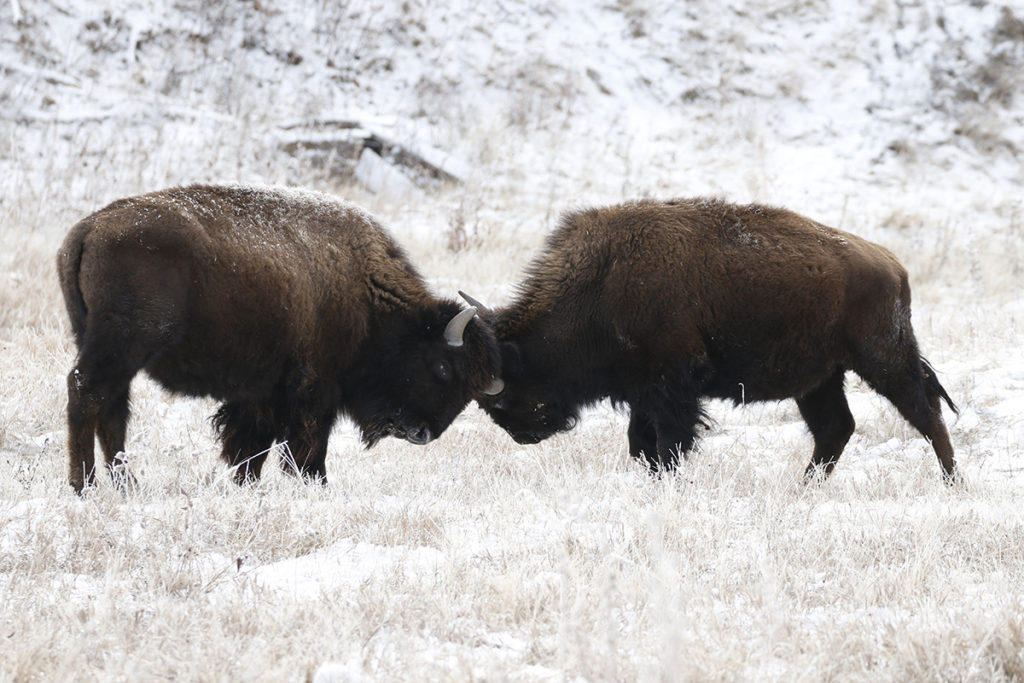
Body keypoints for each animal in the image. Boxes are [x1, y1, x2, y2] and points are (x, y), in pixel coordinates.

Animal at [58, 181, 499, 491]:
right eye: (442, 367)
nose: (423, 434)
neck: (365, 291)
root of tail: (90, 228)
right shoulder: (313, 390)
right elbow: (307, 448)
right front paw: (316, 486)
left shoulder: (262, 391)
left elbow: (251, 446)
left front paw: (245, 486)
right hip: (120, 346)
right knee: (86, 394)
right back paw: (85, 486)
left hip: (105, 348)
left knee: (112, 408)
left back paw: (125, 485)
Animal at [464, 197, 958, 483]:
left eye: (503, 394)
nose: (522, 435)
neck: (602, 281)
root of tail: (891, 264)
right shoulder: (644, 391)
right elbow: (641, 445)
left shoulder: (671, 387)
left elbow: (667, 445)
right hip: (820, 379)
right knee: (836, 428)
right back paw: (802, 490)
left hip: (882, 358)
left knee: (925, 413)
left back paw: (953, 483)